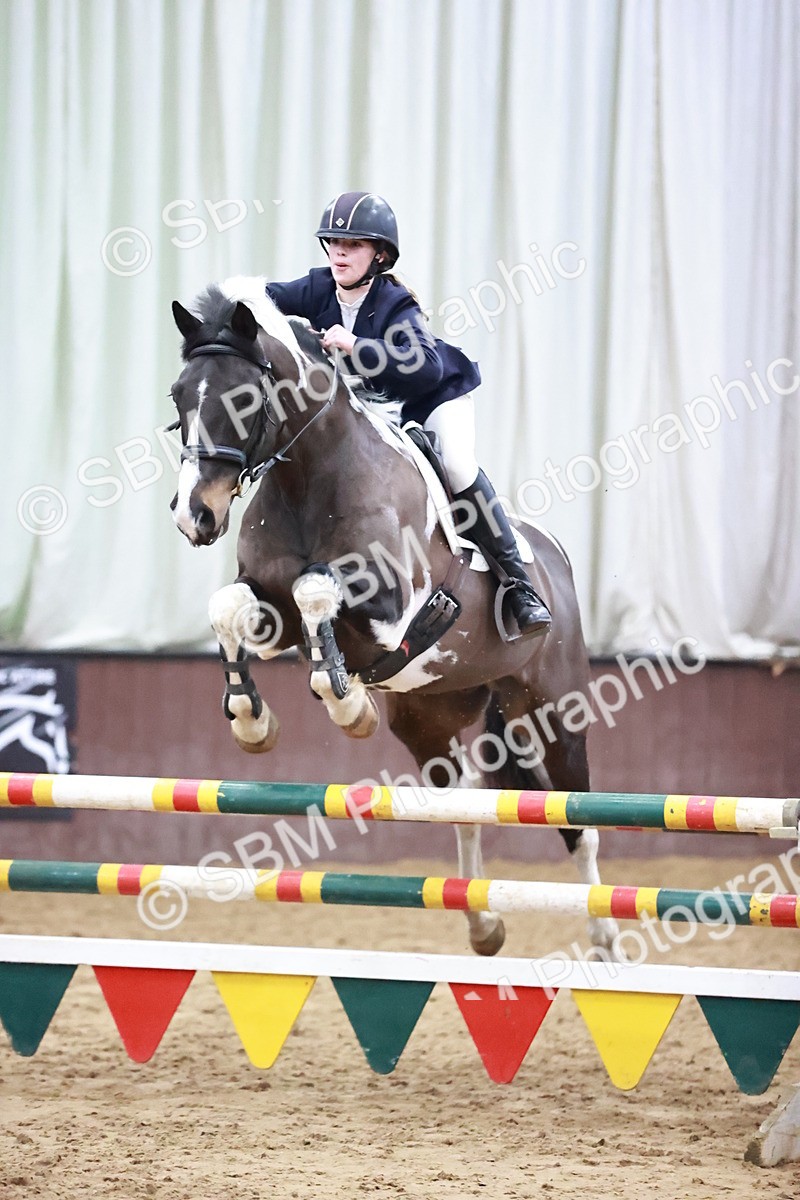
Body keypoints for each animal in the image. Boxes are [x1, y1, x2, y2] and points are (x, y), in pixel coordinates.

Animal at [168, 276, 621, 958]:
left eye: (242, 401)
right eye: (178, 397)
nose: (192, 516)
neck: (311, 475)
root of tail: (554, 557)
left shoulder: (392, 608)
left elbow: (316, 589)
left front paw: (348, 704)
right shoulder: (271, 610)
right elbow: (235, 606)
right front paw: (252, 719)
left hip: (550, 709)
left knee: (578, 824)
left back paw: (604, 937)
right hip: (429, 715)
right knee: (463, 800)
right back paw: (483, 925)